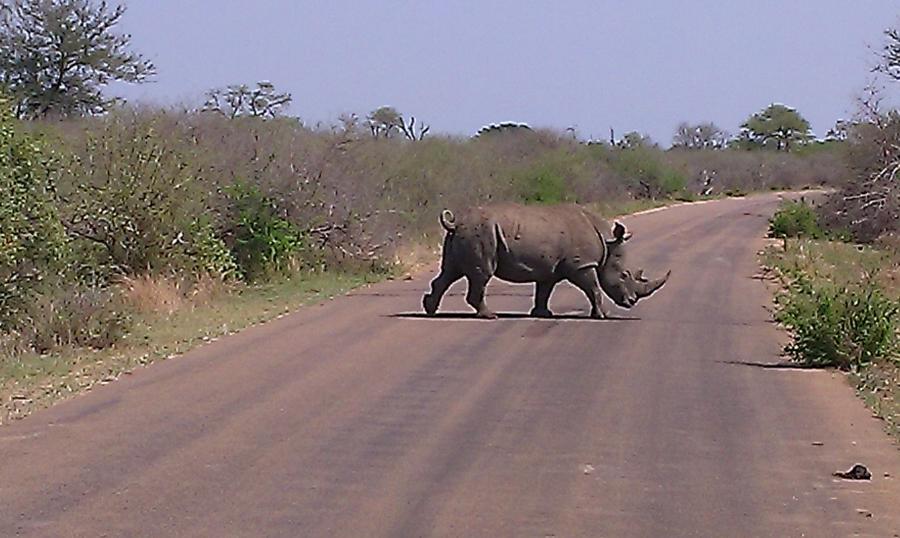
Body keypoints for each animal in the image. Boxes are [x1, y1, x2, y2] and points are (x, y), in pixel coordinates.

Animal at [423, 203, 670, 319]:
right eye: (625, 275)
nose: (632, 302)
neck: (607, 243)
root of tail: (456, 222)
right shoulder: (581, 265)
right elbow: (593, 288)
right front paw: (602, 315)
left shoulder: (550, 268)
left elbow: (544, 290)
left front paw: (542, 314)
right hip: (481, 234)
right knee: (481, 275)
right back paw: (490, 316)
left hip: (466, 234)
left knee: (450, 272)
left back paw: (430, 309)